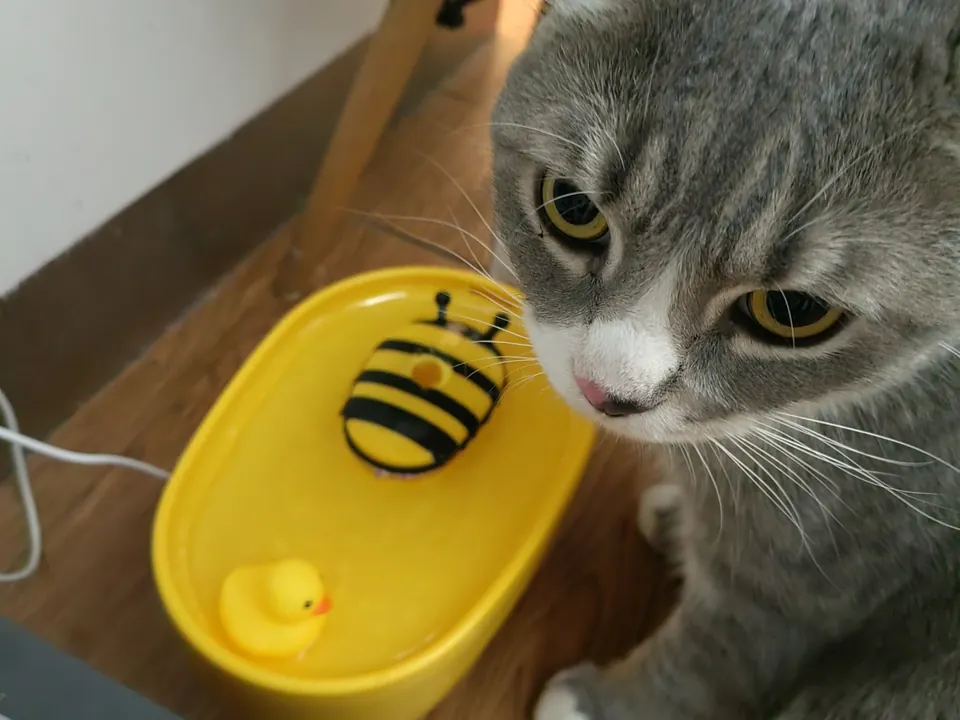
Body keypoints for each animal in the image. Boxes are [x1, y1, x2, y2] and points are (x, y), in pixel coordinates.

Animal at [488, 1, 960, 720]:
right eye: (571, 206)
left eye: (792, 310)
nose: (605, 391)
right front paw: (679, 521)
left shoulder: (806, 579)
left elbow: (710, 659)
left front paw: (595, 703)